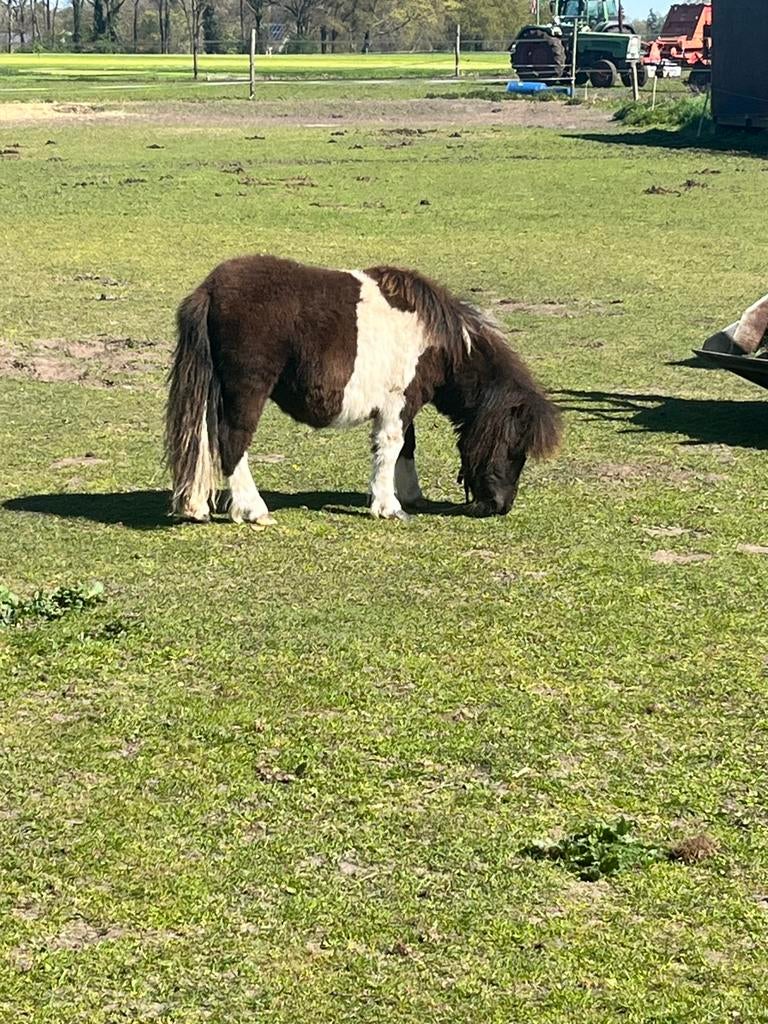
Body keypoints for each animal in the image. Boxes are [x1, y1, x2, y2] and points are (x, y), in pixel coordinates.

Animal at [164, 254, 561, 525]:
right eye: (514, 448)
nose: (500, 507)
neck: (436, 340)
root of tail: (210, 289)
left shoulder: (400, 404)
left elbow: (406, 448)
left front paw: (410, 495)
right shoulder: (399, 403)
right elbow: (391, 447)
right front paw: (388, 506)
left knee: (202, 439)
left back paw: (197, 507)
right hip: (246, 391)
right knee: (232, 443)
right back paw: (254, 510)